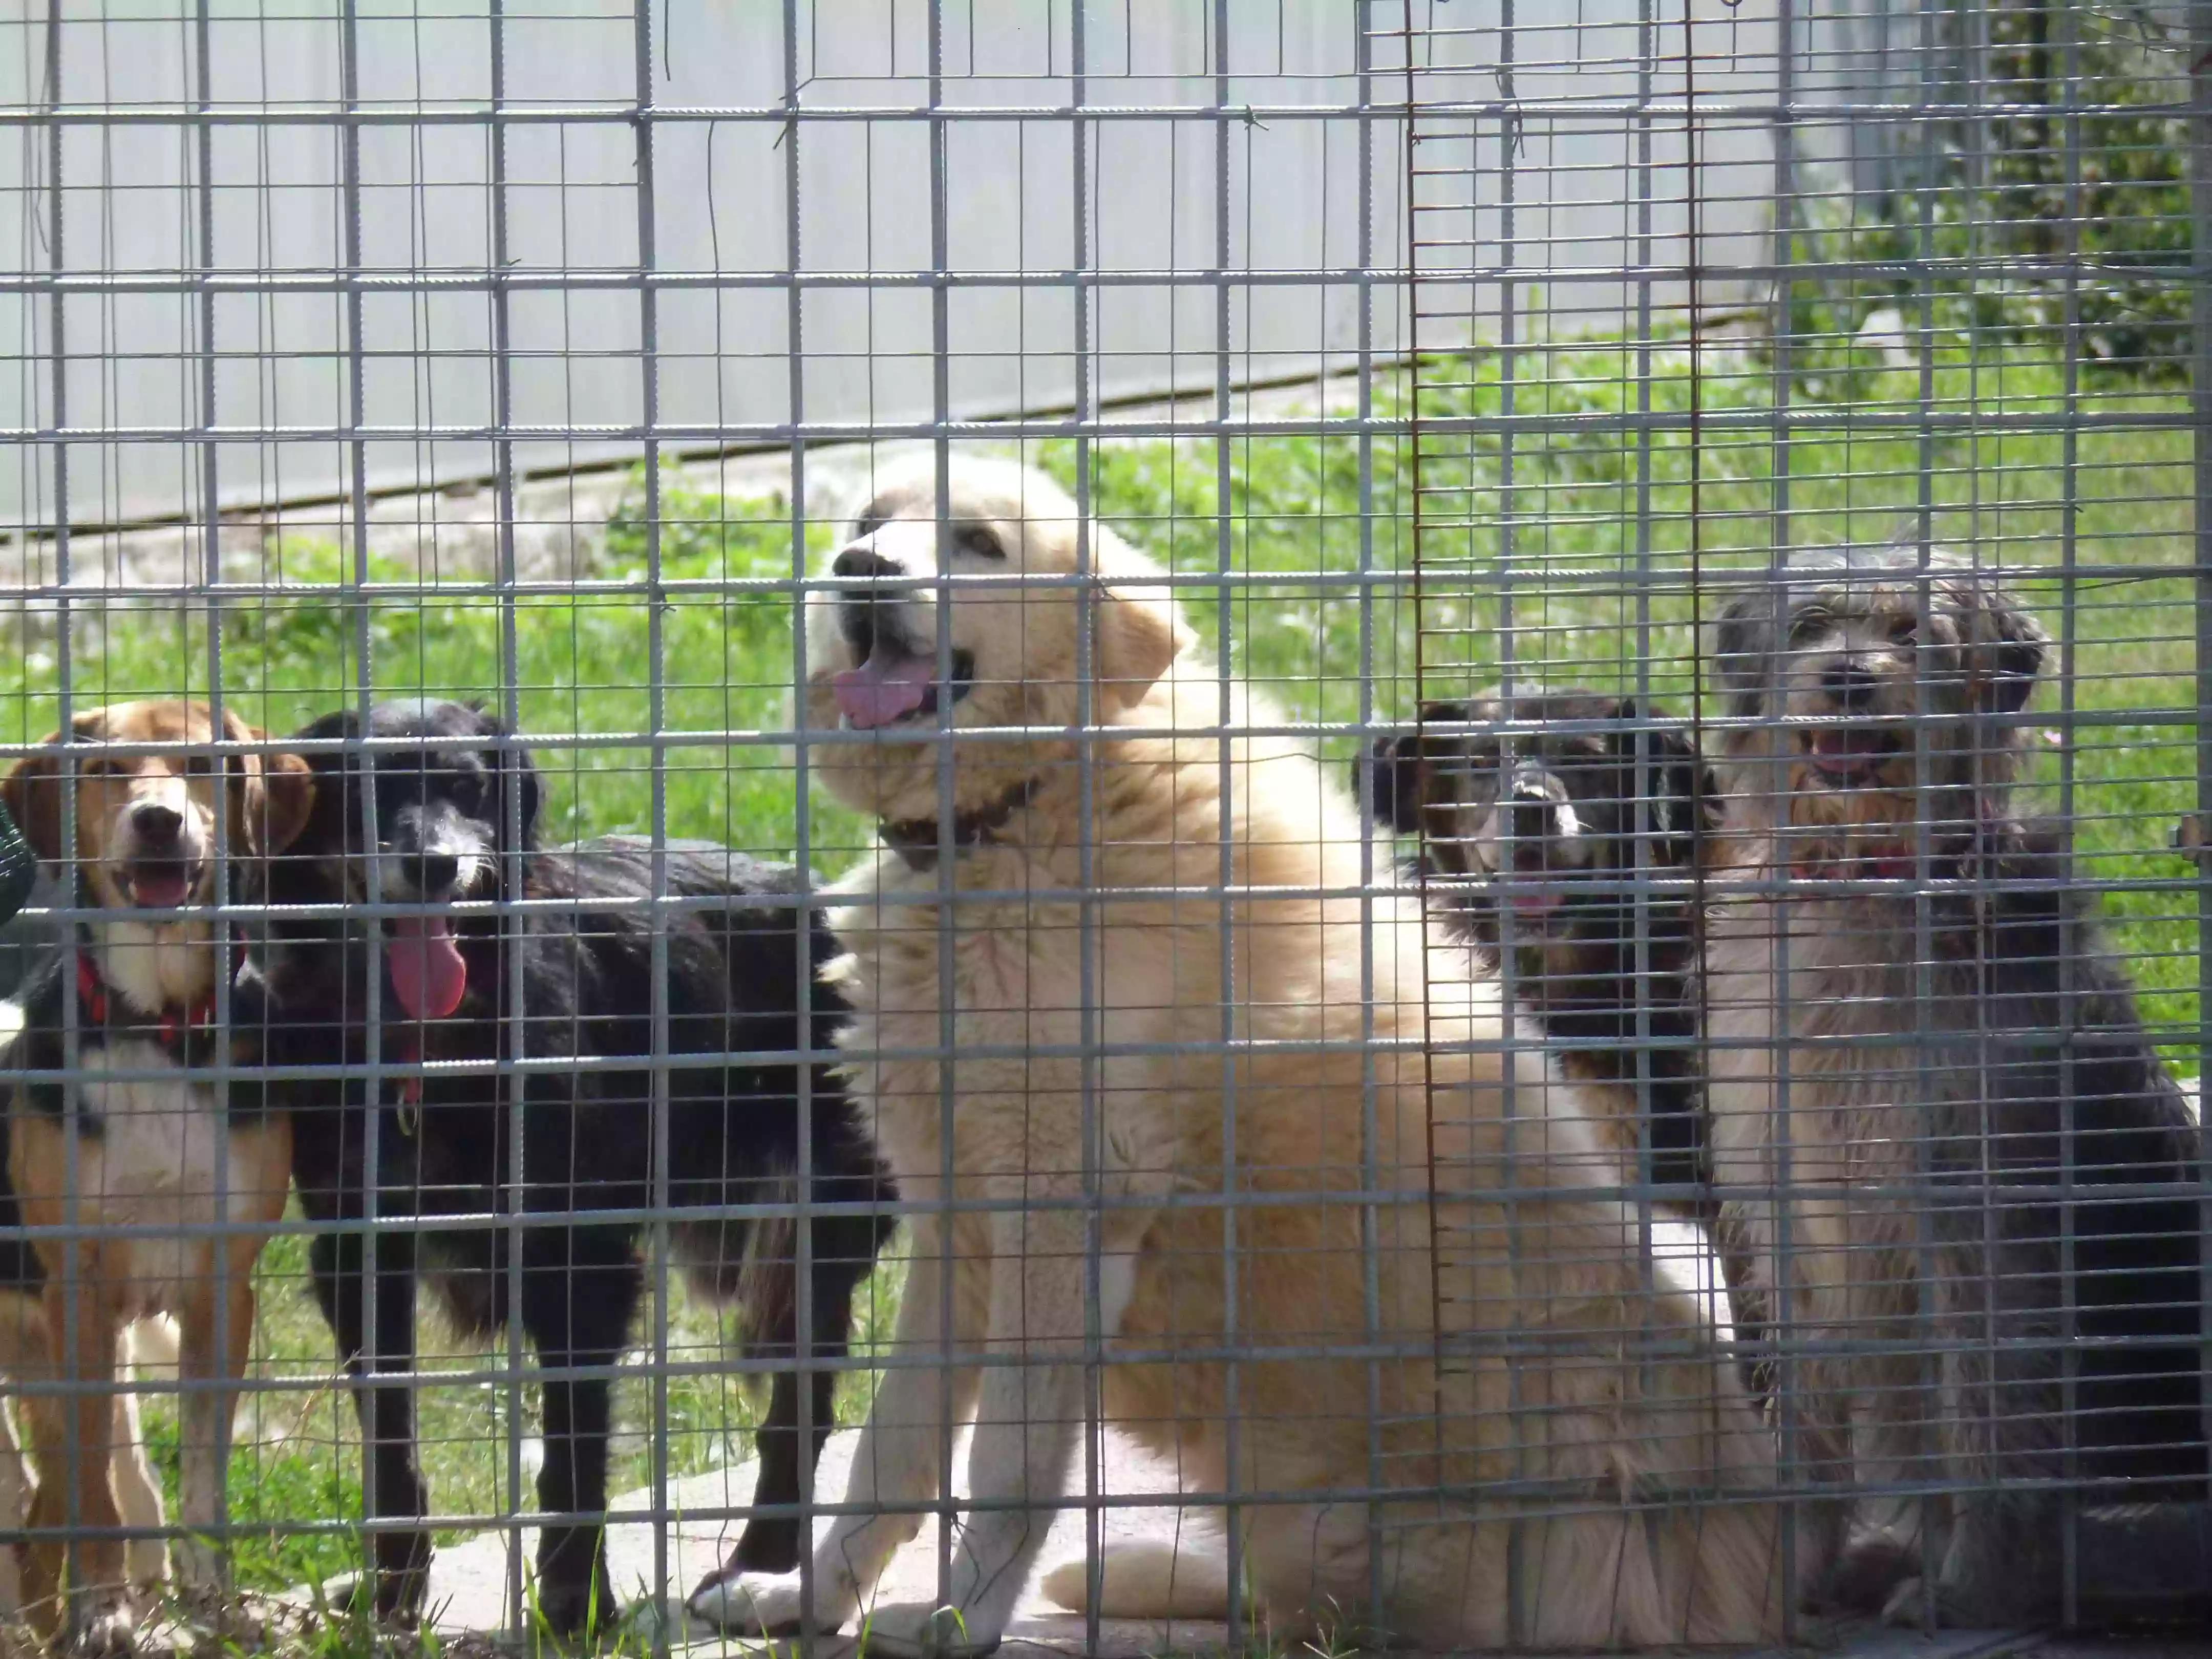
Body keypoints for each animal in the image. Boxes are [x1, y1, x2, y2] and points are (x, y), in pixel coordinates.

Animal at [0, 703, 314, 1654]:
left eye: (204, 765)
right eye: (106, 770)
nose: (158, 821)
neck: (157, 1024)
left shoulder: (220, 1287)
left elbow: (202, 1478)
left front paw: (214, 1606)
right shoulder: (78, 1288)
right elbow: (86, 1487)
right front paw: (100, 1612)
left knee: (96, 1476)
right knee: (44, 1486)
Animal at [242, 699, 889, 1636]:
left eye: (473, 788)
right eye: (368, 789)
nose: (434, 863)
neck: (429, 1043)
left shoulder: (580, 1263)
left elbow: (571, 1454)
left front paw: (573, 1603)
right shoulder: (357, 1256)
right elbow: (390, 1443)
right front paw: (391, 1596)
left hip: (816, 1224)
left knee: (796, 1416)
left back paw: (763, 1569)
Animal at [1698, 546, 2203, 1628]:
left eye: (1913, 633)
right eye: (1810, 628)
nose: (1849, 679)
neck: (1870, 883)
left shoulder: (1983, 1215)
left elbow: (1996, 1411)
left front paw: (1974, 1587)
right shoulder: (1792, 1205)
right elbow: (1806, 1419)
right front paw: (1789, 1574)